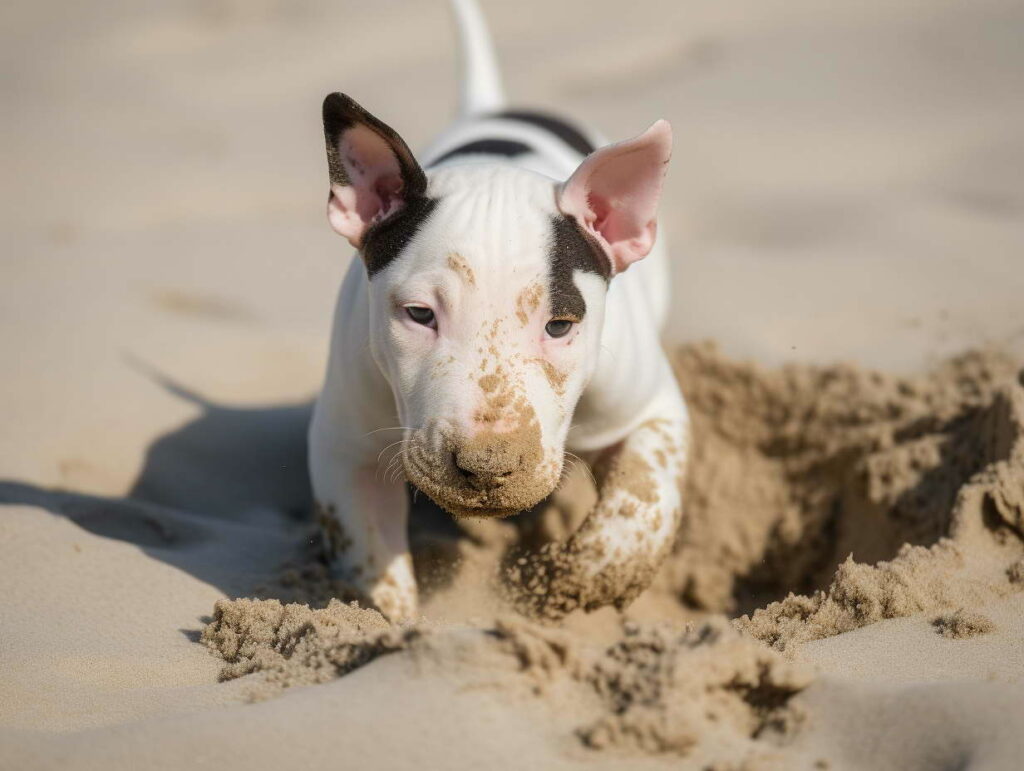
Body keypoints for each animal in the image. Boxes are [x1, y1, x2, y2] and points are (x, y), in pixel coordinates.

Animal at [303, 0, 688, 618]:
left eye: (560, 325)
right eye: (419, 315)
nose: (487, 467)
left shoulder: (653, 410)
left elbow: (641, 502)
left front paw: (580, 579)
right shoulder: (344, 447)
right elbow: (370, 560)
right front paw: (391, 624)